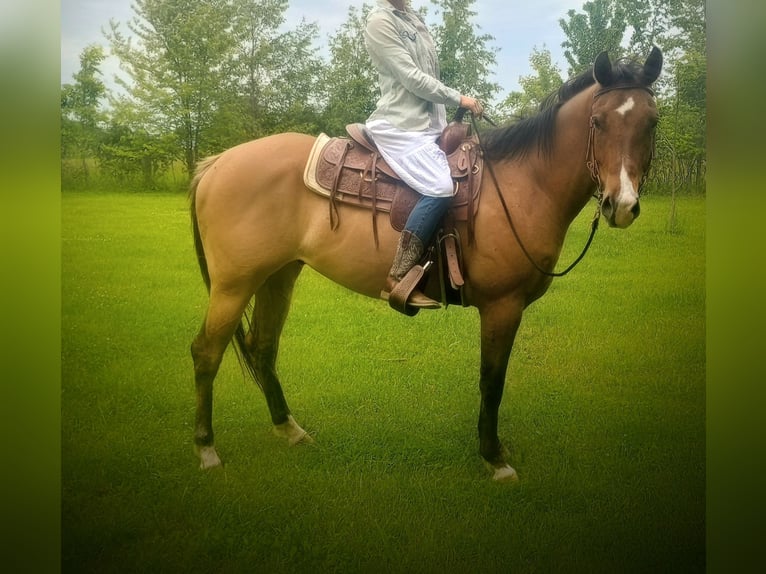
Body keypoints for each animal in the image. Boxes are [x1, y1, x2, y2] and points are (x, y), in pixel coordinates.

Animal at [189, 48, 662, 481]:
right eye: (597, 122)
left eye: (652, 122)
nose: (621, 205)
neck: (523, 185)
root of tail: (217, 163)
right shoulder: (502, 306)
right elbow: (492, 381)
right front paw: (494, 457)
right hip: (234, 285)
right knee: (206, 352)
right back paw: (206, 448)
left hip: (277, 276)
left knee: (262, 347)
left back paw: (289, 429)